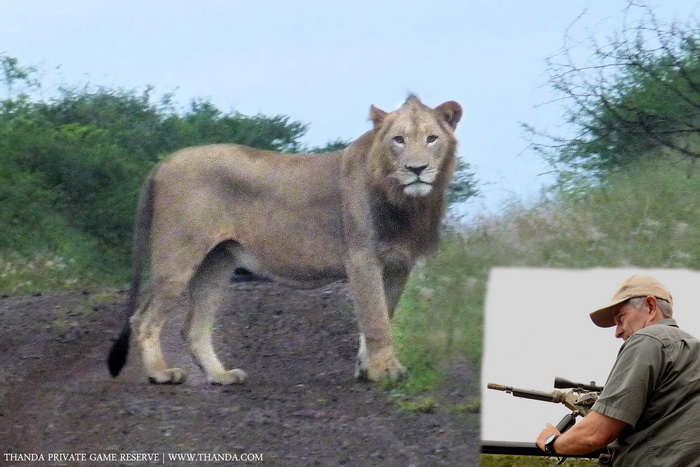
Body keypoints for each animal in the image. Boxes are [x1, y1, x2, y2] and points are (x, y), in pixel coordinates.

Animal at [107, 96, 462, 385]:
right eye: (398, 140)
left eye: (431, 139)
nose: (417, 169)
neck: (406, 201)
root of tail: (163, 162)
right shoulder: (362, 257)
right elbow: (376, 319)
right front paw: (384, 371)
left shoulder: (400, 263)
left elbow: (382, 314)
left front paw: (366, 368)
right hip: (178, 259)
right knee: (143, 319)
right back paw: (160, 374)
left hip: (216, 264)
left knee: (193, 327)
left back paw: (221, 376)